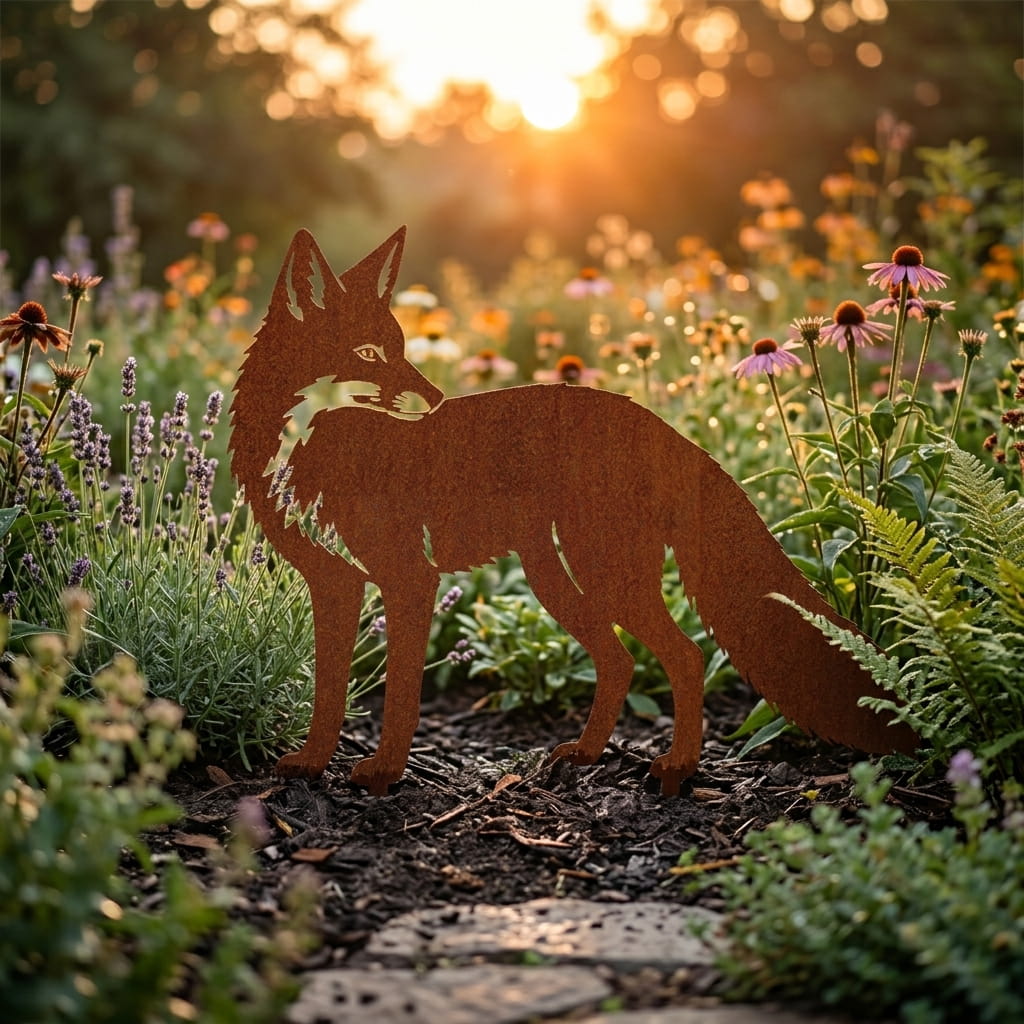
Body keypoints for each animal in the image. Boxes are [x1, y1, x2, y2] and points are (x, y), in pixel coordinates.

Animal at [229, 227, 917, 797]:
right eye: (370, 354)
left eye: (399, 349)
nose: (437, 400)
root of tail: (666, 429)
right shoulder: (335, 583)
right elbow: (328, 694)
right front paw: (313, 764)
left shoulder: (408, 580)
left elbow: (399, 695)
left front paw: (385, 774)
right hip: (558, 579)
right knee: (620, 660)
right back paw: (587, 755)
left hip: (600, 576)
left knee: (683, 657)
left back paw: (677, 770)